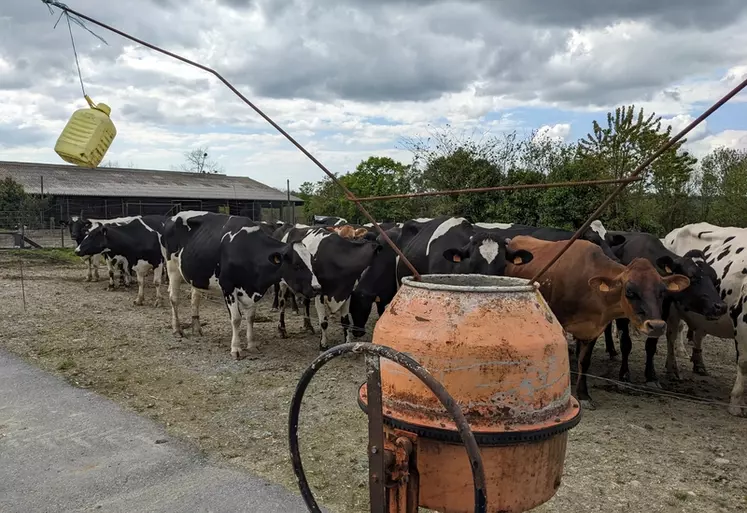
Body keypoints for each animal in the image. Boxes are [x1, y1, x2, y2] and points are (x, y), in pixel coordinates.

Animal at [161, 210, 318, 358]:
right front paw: (236, 349)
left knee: (195, 300)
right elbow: (236, 318)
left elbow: (251, 317)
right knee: (174, 298)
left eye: (311, 261)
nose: (317, 287)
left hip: (196, 276)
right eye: (297, 265)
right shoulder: (228, 287)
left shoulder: (252, 290)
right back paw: (177, 329)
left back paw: (197, 328)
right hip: (172, 268)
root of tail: (173, 217)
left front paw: (252, 345)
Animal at [508, 235, 688, 408]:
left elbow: (584, 361)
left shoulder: (593, 329)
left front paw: (583, 394)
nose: (657, 326)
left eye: (662, 292)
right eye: (630, 291)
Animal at [600, 230, 732, 386]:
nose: (720, 306)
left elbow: (651, 345)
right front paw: (625, 374)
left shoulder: (661, 314)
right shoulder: (622, 315)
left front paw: (651, 376)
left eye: (714, 278)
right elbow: (626, 343)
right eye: (692, 277)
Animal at [668, 222, 747, 414]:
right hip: (673, 311)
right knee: (672, 336)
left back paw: (699, 364)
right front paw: (736, 403)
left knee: (699, 334)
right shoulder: (742, 320)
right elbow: (744, 363)